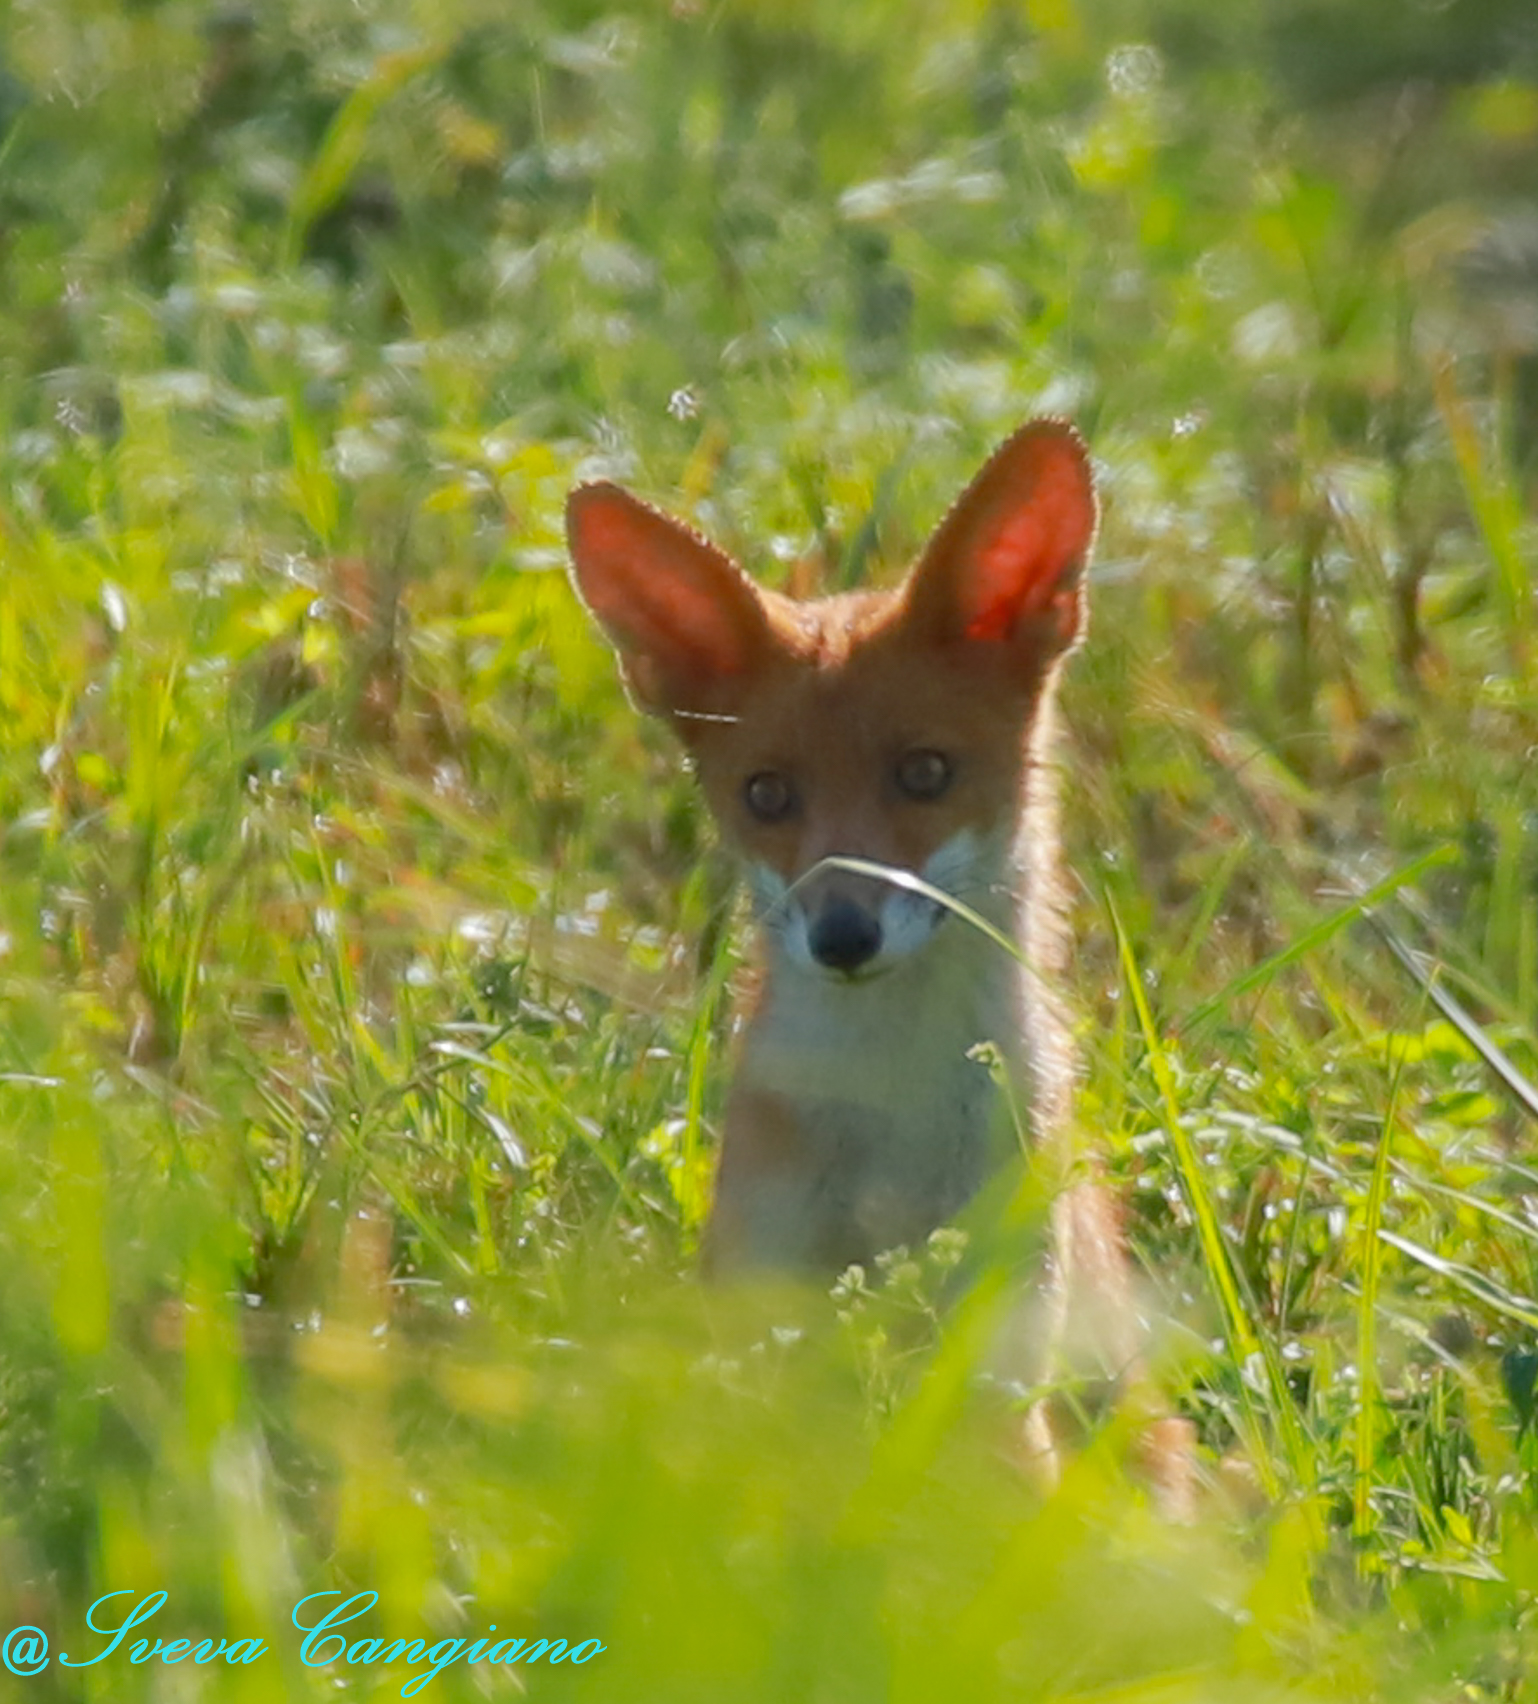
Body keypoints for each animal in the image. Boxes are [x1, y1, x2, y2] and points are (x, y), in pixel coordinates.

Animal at [565, 420, 1192, 1502]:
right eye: (767, 794)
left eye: (925, 772)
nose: (843, 935)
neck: (891, 1113)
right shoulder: (764, 1318)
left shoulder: (997, 1341)